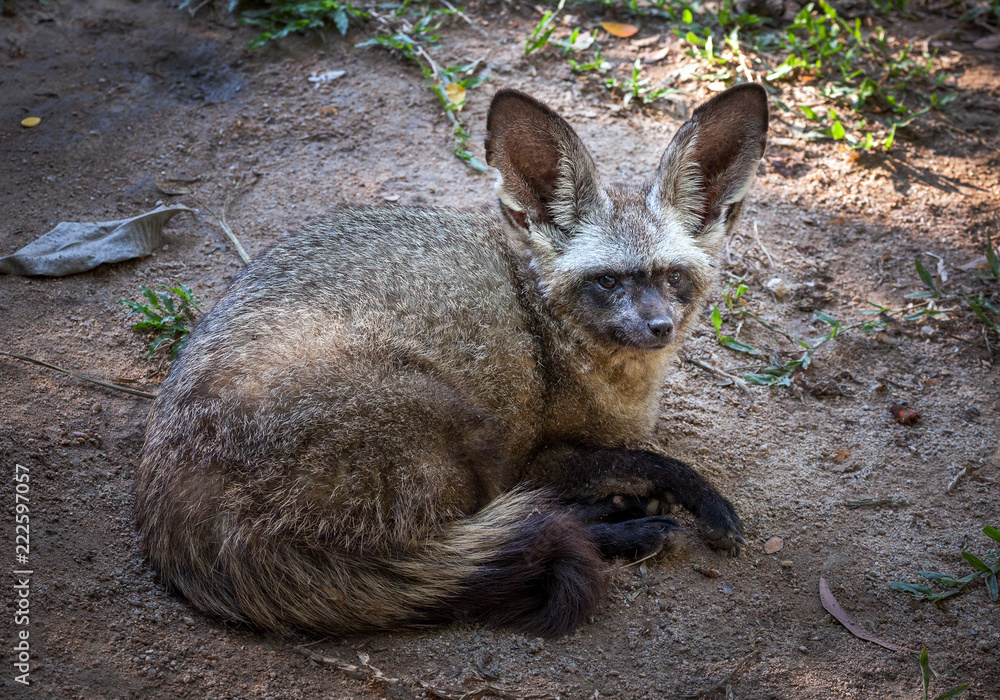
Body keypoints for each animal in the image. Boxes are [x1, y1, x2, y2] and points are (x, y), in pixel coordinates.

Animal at [135, 83, 768, 638]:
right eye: (608, 280)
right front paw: (681, 497)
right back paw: (625, 524)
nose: (660, 327)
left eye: (674, 277)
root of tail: (171, 488)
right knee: (510, 529)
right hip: (461, 425)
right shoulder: (536, 459)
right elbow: (637, 461)